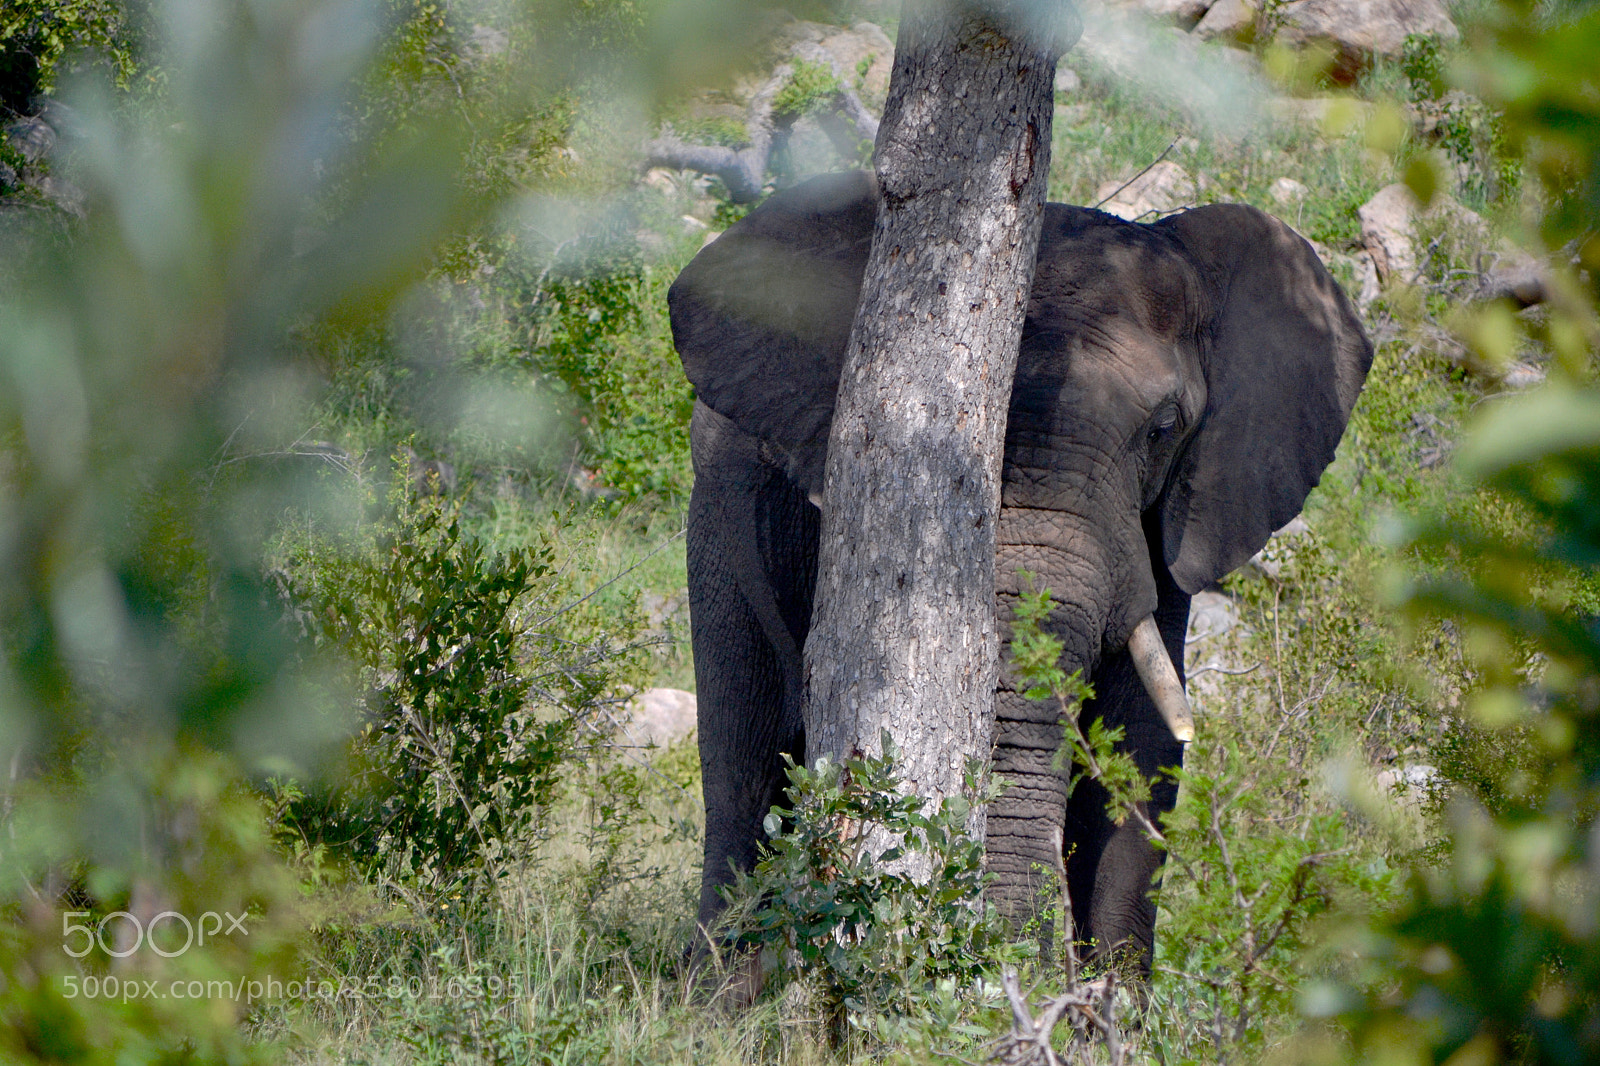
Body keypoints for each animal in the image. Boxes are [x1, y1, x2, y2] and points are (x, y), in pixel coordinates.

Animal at [668, 169, 1372, 973]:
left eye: (1162, 430)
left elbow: (1142, 745)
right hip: (719, 513)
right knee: (744, 763)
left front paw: (1114, 1005)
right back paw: (718, 991)